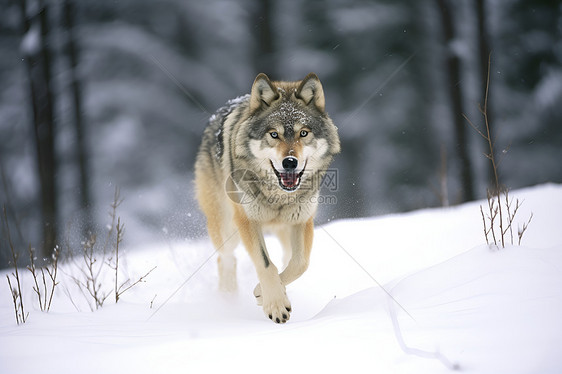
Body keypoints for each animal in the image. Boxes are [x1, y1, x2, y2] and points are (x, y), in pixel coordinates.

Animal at [195, 74, 340, 324]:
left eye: (303, 133)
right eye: (274, 134)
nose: (290, 162)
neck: (278, 196)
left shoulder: (302, 221)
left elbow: (300, 264)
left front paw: (261, 293)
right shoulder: (247, 220)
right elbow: (265, 263)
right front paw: (275, 304)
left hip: (282, 229)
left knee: (285, 257)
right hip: (226, 227)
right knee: (226, 258)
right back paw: (228, 298)